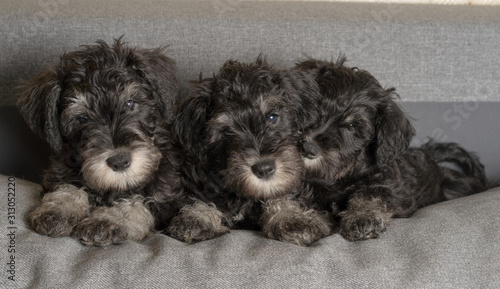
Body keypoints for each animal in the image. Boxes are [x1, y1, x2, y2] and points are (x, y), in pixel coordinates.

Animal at [170, 58, 334, 245]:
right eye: (227, 131)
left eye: (272, 117)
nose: (264, 168)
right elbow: (202, 196)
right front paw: (196, 218)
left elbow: (285, 194)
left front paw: (293, 218)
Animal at [292, 57, 484, 240]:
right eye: (316, 108)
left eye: (353, 126)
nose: (308, 148)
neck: (339, 178)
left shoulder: (390, 187)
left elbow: (371, 194)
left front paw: (363, 218)